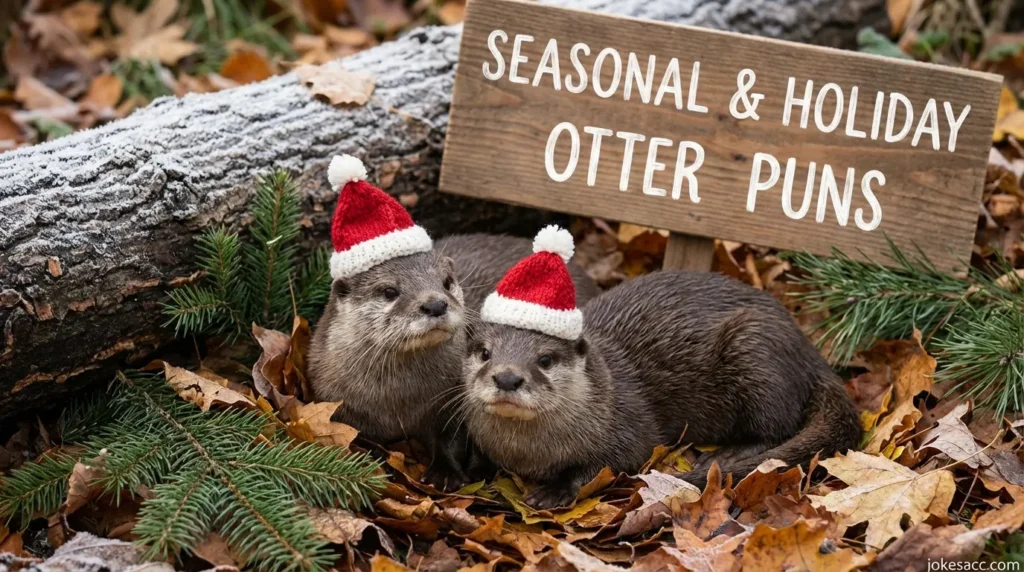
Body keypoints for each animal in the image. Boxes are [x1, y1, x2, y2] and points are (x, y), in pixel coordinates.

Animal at [308, 233, 600, 487]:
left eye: (447, 282)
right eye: (389, 291)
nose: (436, 304)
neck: (398, 403)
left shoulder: (452, 404)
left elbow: (451, 440)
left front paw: (445, 473)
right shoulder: (338, 402)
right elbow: (357, 440)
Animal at [463, 270, 861, 509]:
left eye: (545, 359)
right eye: (485, 353)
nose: (507, 377)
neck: (531, 455)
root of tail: (809, 349)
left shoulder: (629, 427)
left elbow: (611, 462)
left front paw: (554, 491)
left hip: (755, 350)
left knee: (777, 426)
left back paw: (728, 455)